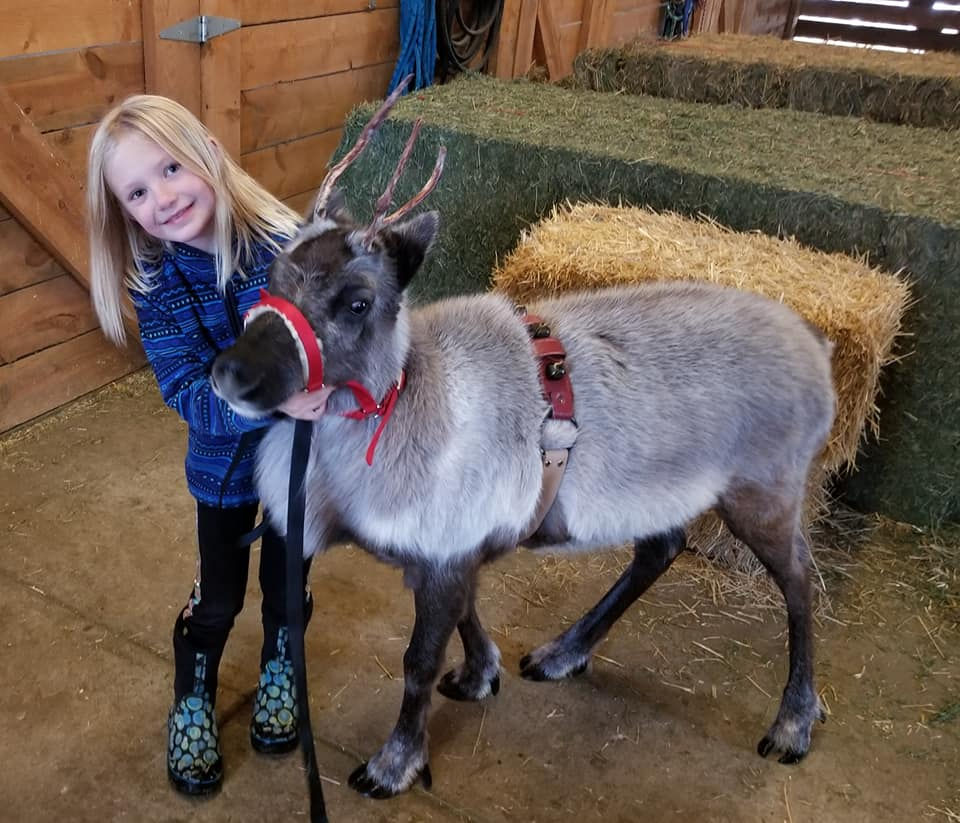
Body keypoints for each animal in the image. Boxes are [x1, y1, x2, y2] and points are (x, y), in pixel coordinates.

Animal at [210, 84, 836, 799]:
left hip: (765, 488)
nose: (232, 373)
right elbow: (466, 614)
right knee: (661, 547)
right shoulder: (445, 548)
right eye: (274, 274)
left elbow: (418, 661)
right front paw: (482, 672)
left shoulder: (446, 544)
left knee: (800, 581)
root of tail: (820, 351)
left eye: (358, 301)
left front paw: (394, 763)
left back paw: (794, 721)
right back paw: (563, 652)